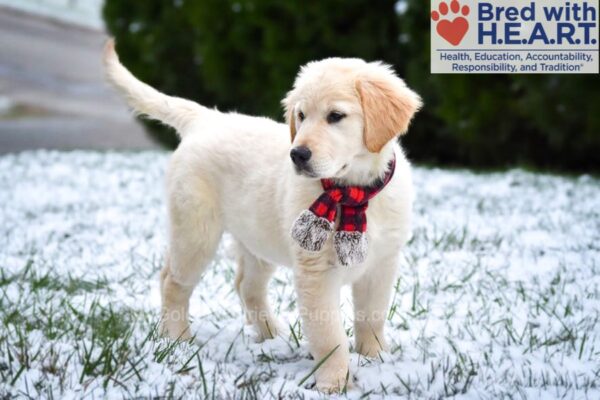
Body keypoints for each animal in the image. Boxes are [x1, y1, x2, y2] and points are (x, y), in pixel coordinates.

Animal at [103, 39, 422, 392]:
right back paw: (177, 340)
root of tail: (207, 119)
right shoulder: (316, 273)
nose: (297, 154)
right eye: (301, 115)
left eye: (336, 116)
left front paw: (376, 359)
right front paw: (335, 382)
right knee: (173, 282)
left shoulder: (382, 263)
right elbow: (329, 334)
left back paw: (271, 335)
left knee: (245, 286)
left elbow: (372, 317)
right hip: (196, 230)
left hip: (257, 236)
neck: (354, 192)